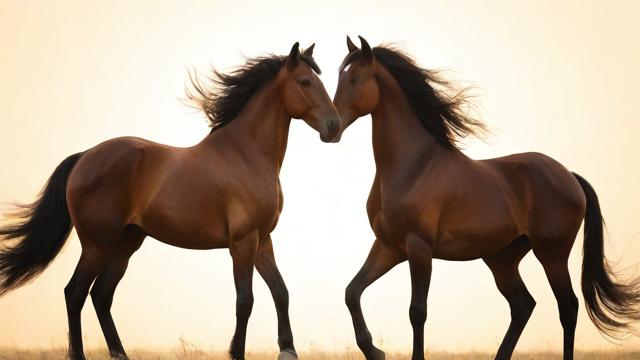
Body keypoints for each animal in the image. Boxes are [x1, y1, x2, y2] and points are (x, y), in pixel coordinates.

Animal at [0, 43, 340, 360]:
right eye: (305, 81)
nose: (334, 126)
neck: (247, 154)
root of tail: (84, 157)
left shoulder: (262, 240)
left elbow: (280, 291)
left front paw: (288, 350)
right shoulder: (243, 242)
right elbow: (245, 300)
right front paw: (237, 352)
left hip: (126, 243)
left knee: (101, 295)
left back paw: (120, 353)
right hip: (97, 244)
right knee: (76, 293)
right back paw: (81, 353)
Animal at [332, 35, 636, 360]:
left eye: (355, 78)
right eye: (339, 77)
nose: (332, 126)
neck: (413, 166)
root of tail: (568, 175)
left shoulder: (418, 248)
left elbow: (417, 311)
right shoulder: (389, 246)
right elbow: (352, 292)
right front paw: (374, 350)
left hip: (552, 254)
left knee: (567, 307)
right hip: (502, 259)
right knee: (522, 305)